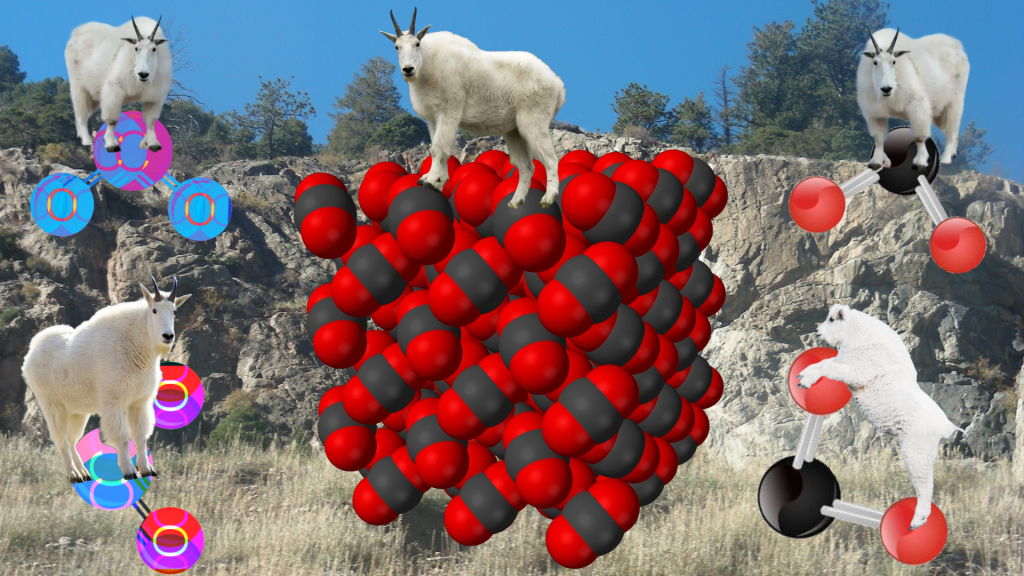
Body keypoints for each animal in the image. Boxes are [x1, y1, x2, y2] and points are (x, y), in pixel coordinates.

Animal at [20, 272, 191, 479]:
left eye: (174, 311)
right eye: (154, 310)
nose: (168, 336)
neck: (137, 343)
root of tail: (31, 351)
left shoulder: (139, 402)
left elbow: (140, 436)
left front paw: (146, 469)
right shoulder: (113, 401)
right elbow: (122, 437)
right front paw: (129, 471)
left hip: (76, 410)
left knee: (72, 439)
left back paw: (84, 473)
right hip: (52, 404)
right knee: (61, 440)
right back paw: (73, 474)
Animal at [65, 16, 172, 152]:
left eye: (154, 49)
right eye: (136, 48)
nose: (143, 74)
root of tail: (75, 33)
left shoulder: (154, 96)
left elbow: (151, 120)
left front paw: (153, 144)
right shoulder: (115, 89)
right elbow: (112, 120)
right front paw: (111, 144)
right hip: (79, 85)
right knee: (81, 112)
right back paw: (86, 140)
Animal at [378, 8, 565, 208]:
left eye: (417, 43)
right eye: (396, 47)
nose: (408, 69)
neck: (427, 65)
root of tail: (558, 85)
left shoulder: (449, 112)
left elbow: (439, 148)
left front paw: (431, 180)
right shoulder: (433, 119)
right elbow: (437, 148)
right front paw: (435, 181)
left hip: (533, 120)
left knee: (550, 159)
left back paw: (547, 199)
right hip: (514, 130)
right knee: (526, 167)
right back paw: (515, 202)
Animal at [798, 305, 958, 528]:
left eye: (832, 319)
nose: (817, 332)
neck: (859, 335)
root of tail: (945, 427)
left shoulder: (854, 371)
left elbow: (828, 366)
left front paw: (805, 381)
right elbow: (823, 363)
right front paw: (802, 375)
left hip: (917, 451)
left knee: (925, 487)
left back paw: (916, 522)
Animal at [856, 27, 966, 170]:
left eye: (893, 61)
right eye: (875, 62)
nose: (886, 89)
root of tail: (958, 45)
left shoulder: (916, 104)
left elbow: (920, 136)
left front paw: (920, 161)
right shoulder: (874, 111)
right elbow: (878, 137)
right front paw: (876, 162)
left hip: (954, 101)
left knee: (951, 129)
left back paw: (946, 158)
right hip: (938, 111)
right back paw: (953, 153)